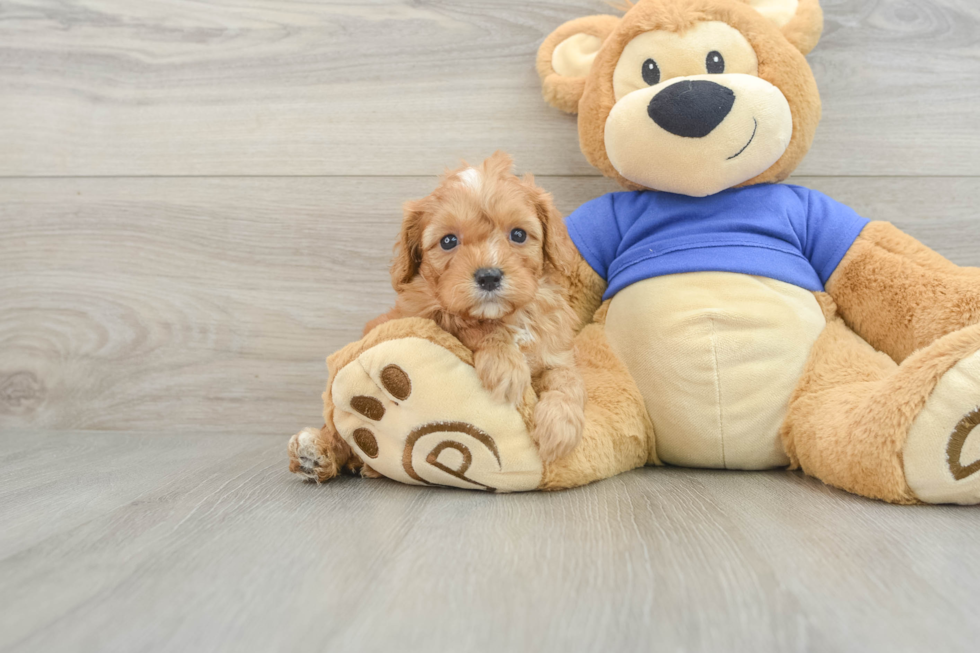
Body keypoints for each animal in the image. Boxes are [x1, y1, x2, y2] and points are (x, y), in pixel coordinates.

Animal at [366, 150, 580, 460]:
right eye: (448, 241)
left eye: (518, 234)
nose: (488, 276)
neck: (510, 317)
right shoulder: (424, 314)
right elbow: (467, 324)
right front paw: (507, 366)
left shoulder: (556, 350)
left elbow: (567, 379)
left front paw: (560, 429)